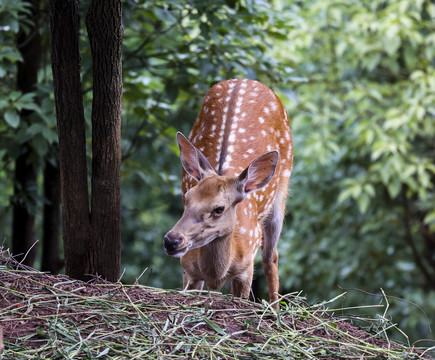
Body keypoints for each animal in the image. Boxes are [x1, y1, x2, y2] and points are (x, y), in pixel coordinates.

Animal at [164, 78, 292, 306]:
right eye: (187, 199)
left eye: (219, 208)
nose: (171, 241)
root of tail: (243, 79)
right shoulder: (188, 269)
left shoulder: (246, 266)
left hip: (281, 194)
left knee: (271, 257)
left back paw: (275, 307)